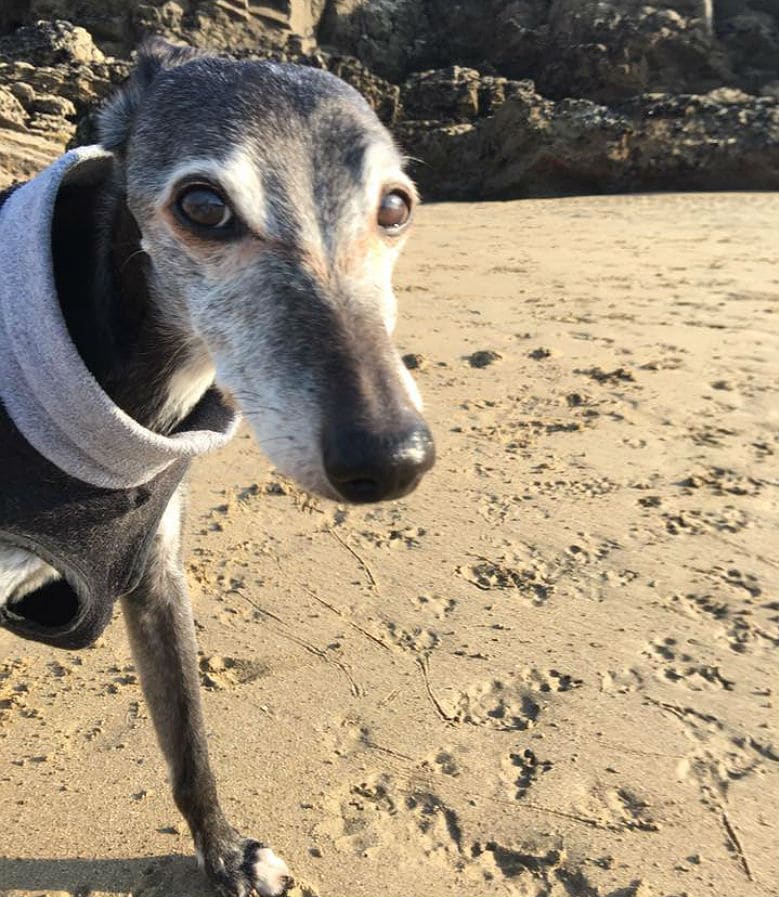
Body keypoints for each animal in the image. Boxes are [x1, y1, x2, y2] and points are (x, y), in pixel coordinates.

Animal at [0, 38, 432, 896]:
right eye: (202, 206)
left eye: (395, 206)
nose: (393, 459)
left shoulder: (154, 571)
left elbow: (189, 744)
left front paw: (226, 853)